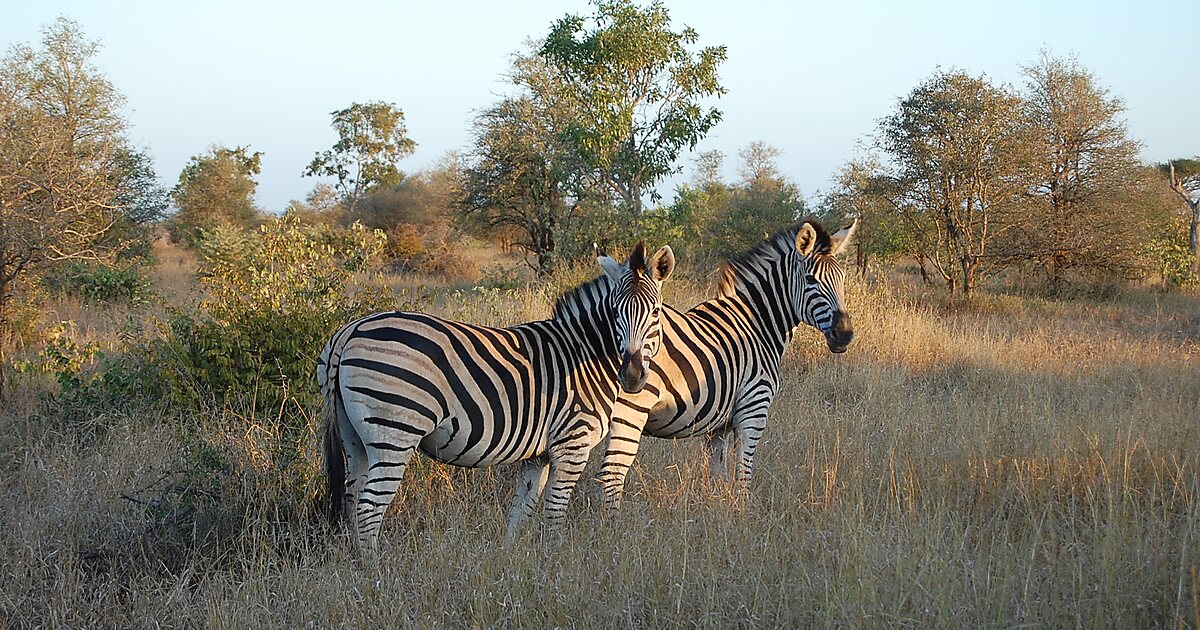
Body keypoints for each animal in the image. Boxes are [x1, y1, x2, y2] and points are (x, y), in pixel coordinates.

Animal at [319, 241, 676, 549]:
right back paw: (376, 571)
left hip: (355, 437)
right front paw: (558, 560)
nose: (632, 376)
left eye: (655, 312)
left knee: (352, 499)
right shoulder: (572, 444)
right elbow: (555, 511)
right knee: (369, 508)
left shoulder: (539, 454)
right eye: (615, 313)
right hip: (394, 432)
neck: (585, 352)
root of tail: (350, 330)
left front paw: (513, 560)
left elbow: (522, 510)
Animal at [597, 218, 859, 508]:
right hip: (630, 411)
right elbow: (743, 474)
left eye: (842, 279)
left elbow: (717, 476)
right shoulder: (753, 409)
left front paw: (716, 511)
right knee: (611, 475)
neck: (757, 324)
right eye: (811, 280)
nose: (844, 334)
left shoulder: (718, 425)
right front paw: (742, 513)